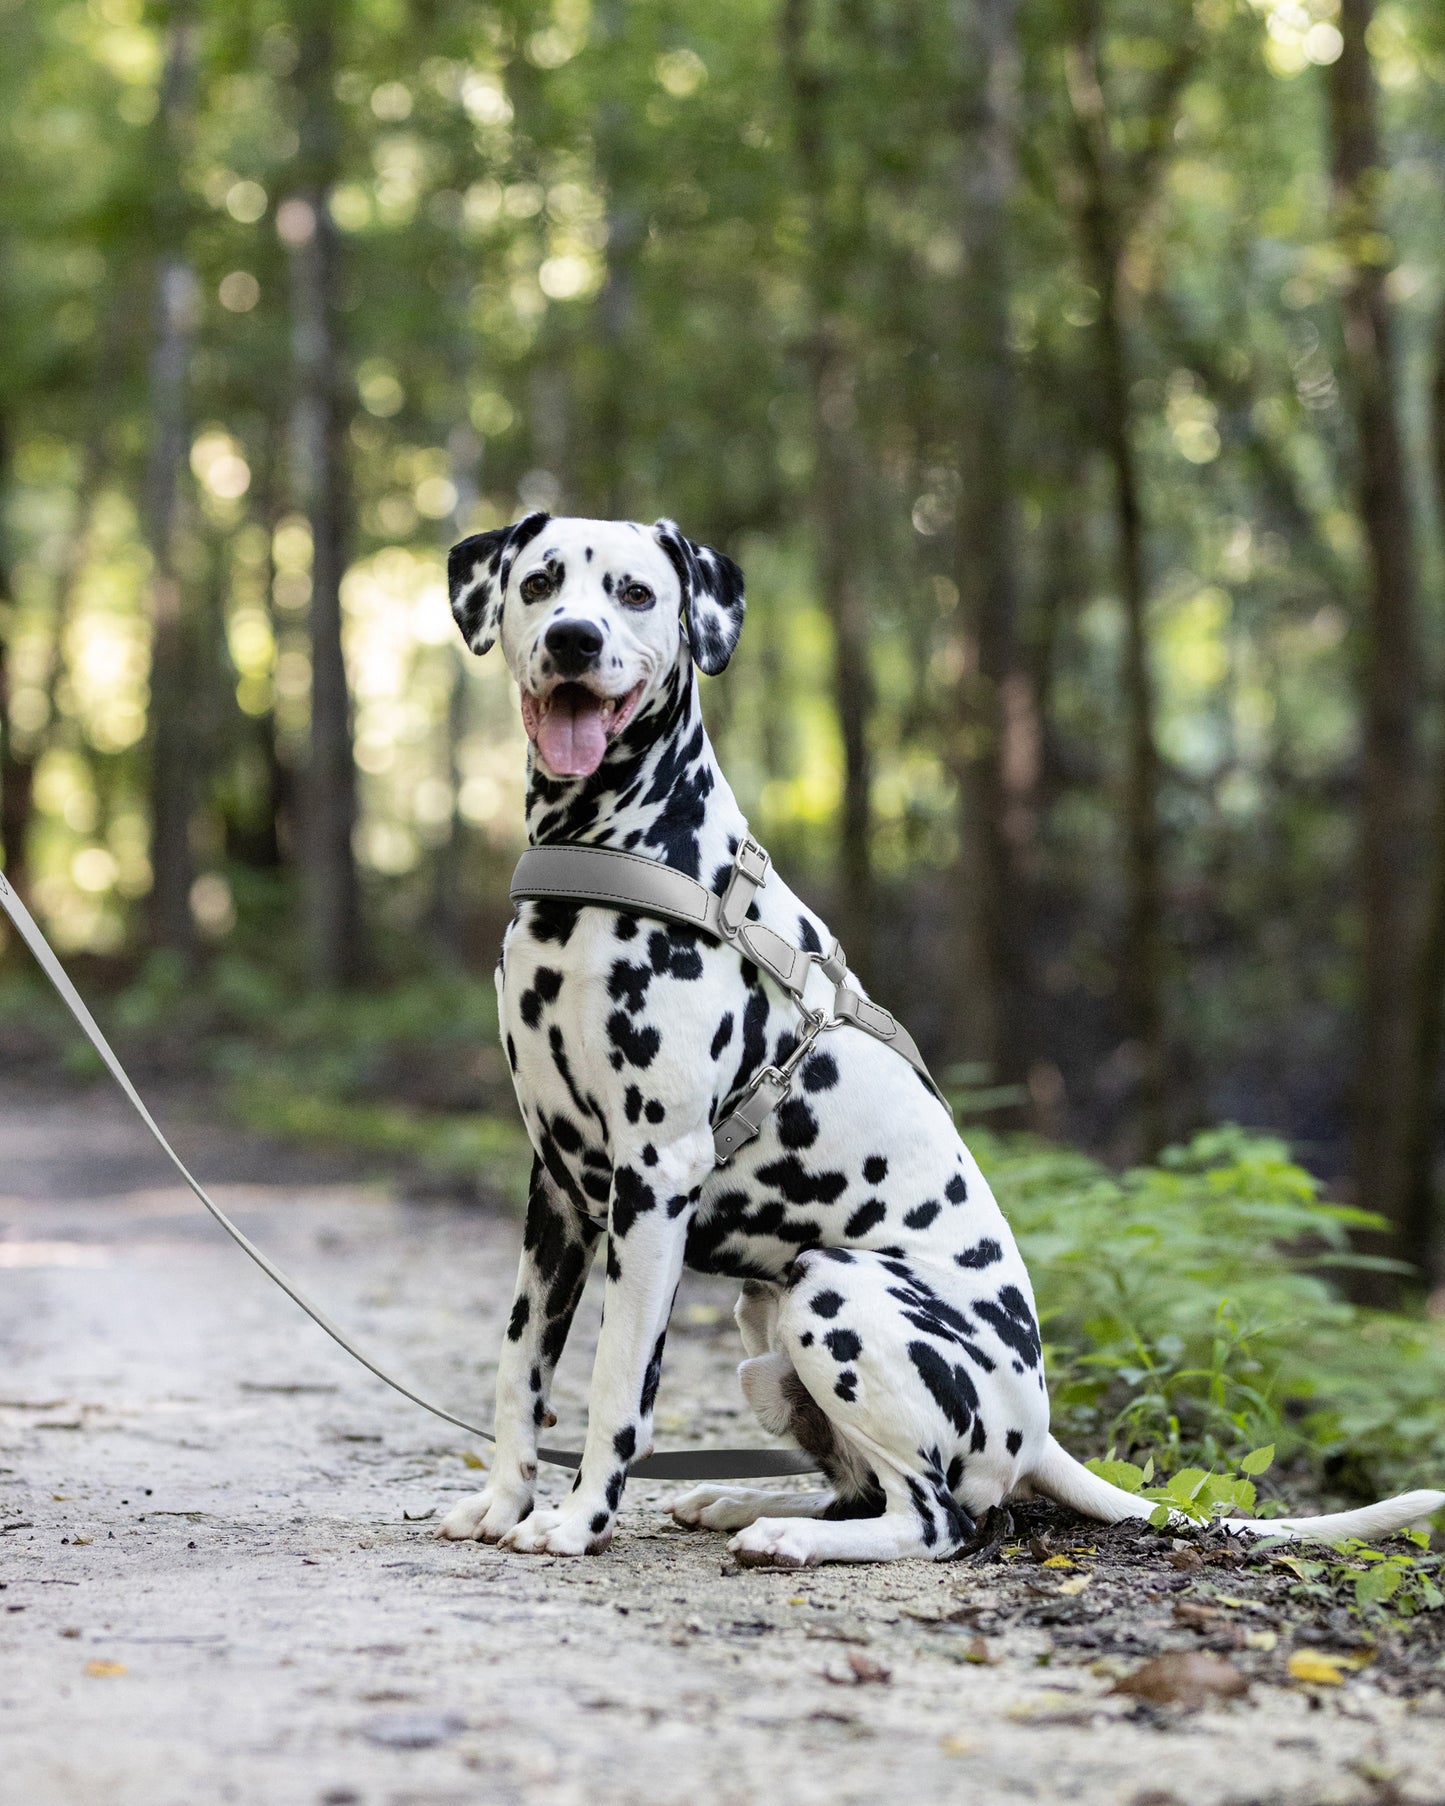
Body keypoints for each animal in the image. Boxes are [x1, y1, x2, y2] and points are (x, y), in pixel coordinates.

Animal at [435, 512, 1445, 1567]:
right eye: (541, 582)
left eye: (634, 594)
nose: (572, 641)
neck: (609, 855)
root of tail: (1039, 1431)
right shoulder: (558, 1187)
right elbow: (519, 1368)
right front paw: (502, 1502)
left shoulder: (653, 1177)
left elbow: (616, 1383)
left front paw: (577, 1519)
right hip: (766, 1328)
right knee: (857, 1490)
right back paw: (744, 1503)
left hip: (832, 1291)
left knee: (934, 1520)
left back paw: (787, 1535)